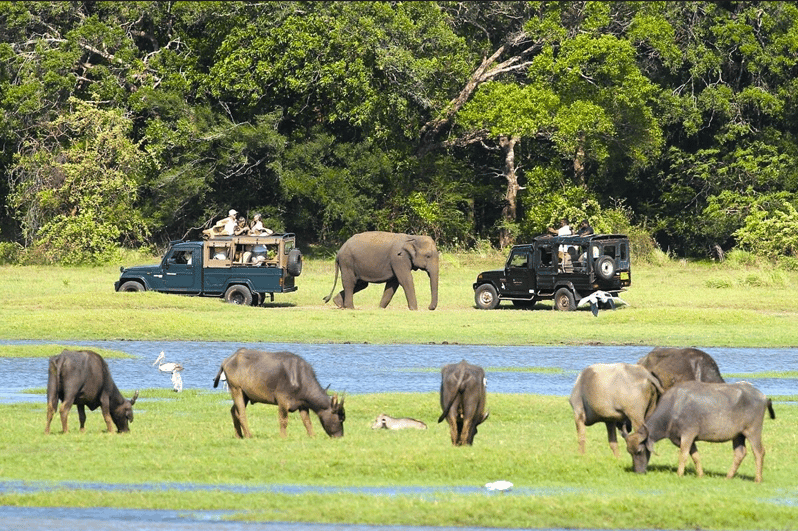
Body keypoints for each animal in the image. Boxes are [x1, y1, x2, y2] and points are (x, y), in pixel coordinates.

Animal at [214, 350, 346, 440]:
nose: (340, 436)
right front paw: (283, 437)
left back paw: (239, 435)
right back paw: (248, 435)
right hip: (236, 389)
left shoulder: (302, 405)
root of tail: (227, 360)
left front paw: (312, 435)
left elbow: (307, 422)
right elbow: (283, 420)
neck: (299, 378)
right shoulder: (282, 401)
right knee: (241, 413)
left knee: (233, 411)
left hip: (245, 395)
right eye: (340, 419)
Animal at [628, 380, 780, 484]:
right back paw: (728, 476)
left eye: (640, 451)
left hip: (753, 431)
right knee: (740, 453)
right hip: (738, 435)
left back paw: (758, 479)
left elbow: (683, 455)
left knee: (759, 452)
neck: (673, 408)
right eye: (629, 452)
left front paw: (679, 474)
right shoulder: (689, 439)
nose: (638, 472)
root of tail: (763, 396)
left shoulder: (688, 434)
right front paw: (700, 474)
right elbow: (695, 456)